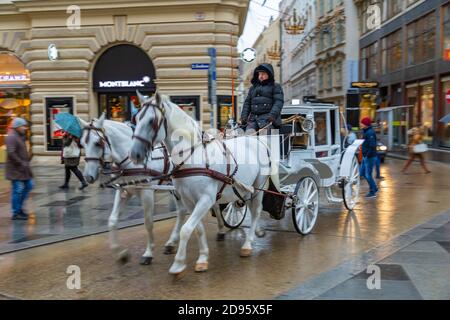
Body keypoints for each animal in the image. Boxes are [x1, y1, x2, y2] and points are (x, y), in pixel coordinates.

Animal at [79, 114, 223, 266]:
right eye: (82, 144)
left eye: (97, 143)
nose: (88, 177)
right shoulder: (124, 191)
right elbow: (112, 220)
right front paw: (121, 253)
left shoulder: (147, 192)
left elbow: (148, 223)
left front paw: (148, 253)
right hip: (177, 189)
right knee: (183, 211)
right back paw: (172, 242)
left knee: (213, 205)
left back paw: (220, 229)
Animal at [128, 92, 272, 276]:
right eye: (136, 118)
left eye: (152, 121)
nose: (134, 154)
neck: (191, 156)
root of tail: (258, 141)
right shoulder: (189, 201)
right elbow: (197, 229)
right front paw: (203, 257)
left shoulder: (205, 199)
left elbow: (186, 229)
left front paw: (178, 263)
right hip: (243, 188)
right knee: (248, 207)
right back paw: (257, 232)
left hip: (258, 186)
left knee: (256, 211)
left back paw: (248, 243)